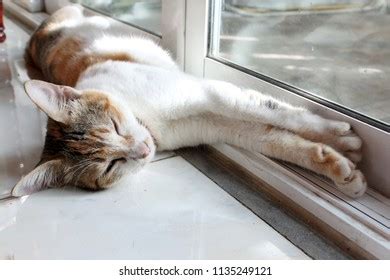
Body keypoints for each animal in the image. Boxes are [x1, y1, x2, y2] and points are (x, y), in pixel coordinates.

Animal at [11, 4, 366, 197]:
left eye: (114, 126)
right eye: (111, 165)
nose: (143, 151)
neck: (151, 123)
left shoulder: (210, 93)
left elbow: (280, 113)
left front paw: (340, 133)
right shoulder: (217, 124)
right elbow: (278, 140)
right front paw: (344, 169)